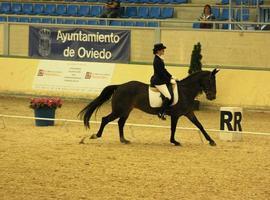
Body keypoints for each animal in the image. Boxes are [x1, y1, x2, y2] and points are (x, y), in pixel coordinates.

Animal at [78, 68, 219, 145]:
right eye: (210, 81)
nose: (212, 97)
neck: (185, 91)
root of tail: (120, 86)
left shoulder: (189, 113)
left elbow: (200, 125)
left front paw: (211, 141)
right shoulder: (175, 115)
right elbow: (173, 129)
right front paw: (174, 141)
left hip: (126, 110)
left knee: (120, 123)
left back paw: (124, 140)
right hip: (119, 110)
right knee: (106, 119)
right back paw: (96, 135)